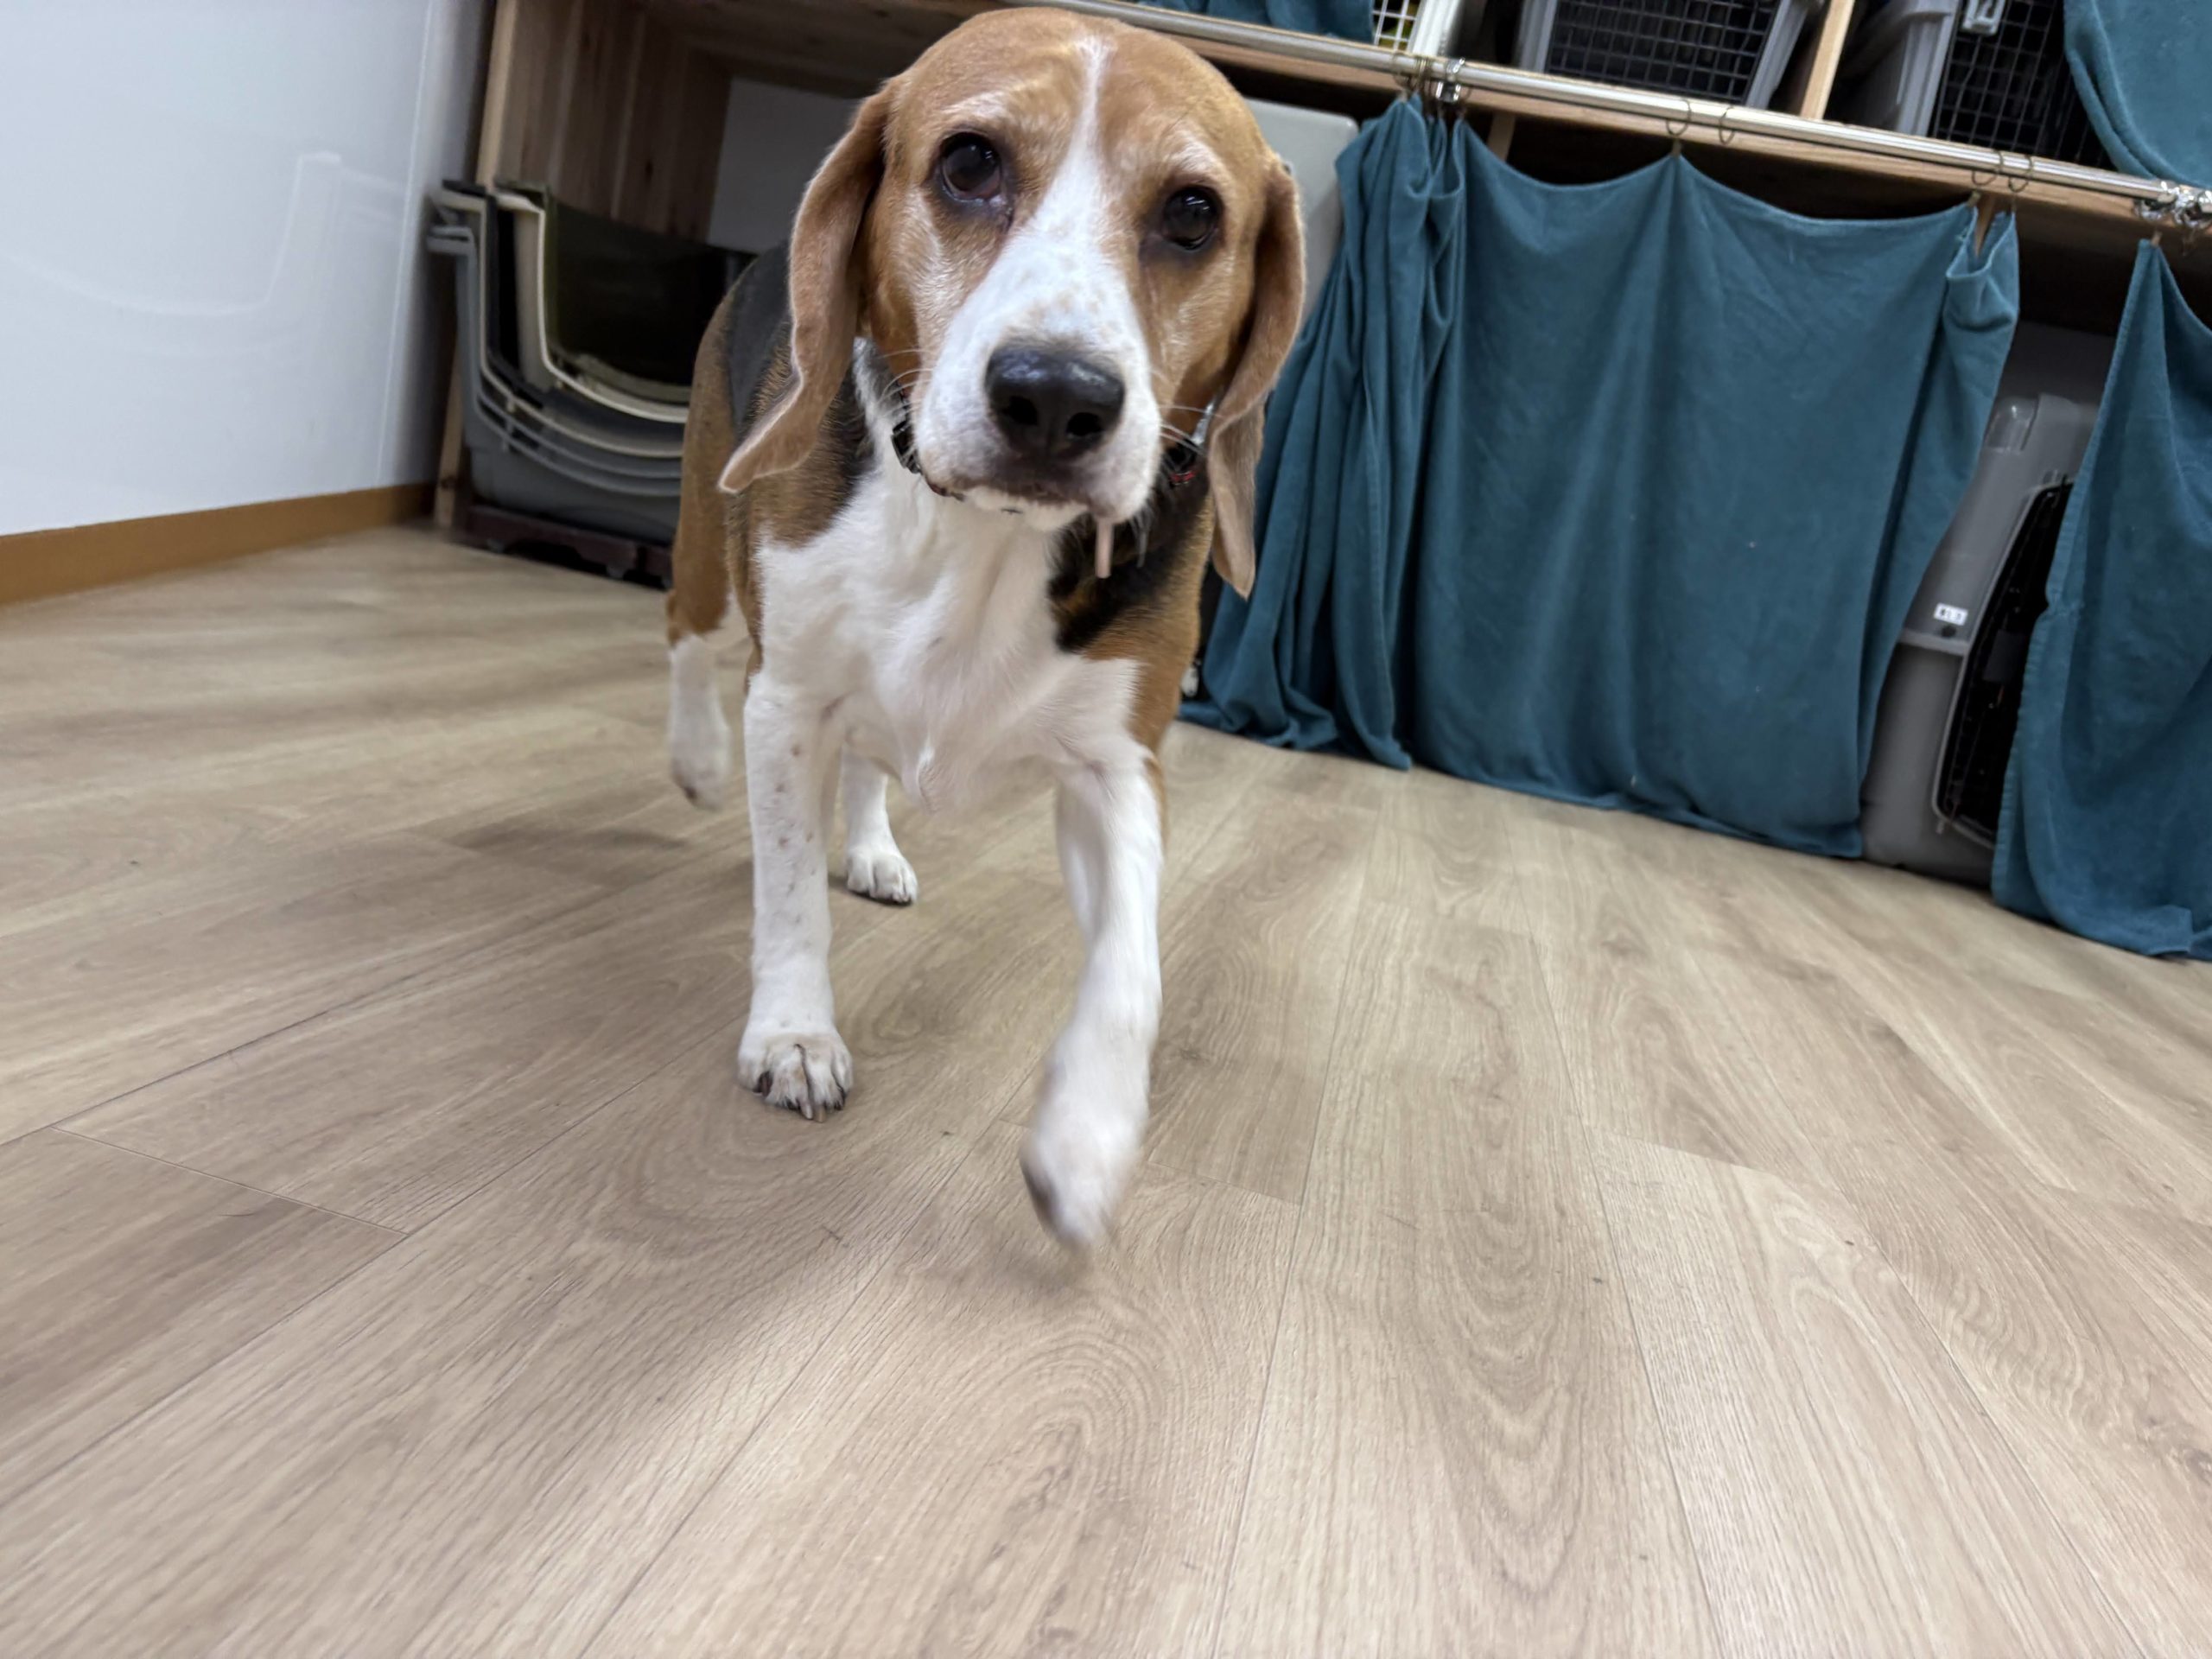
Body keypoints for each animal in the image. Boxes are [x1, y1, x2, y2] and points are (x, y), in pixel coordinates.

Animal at [663, 8, 1304, 1244]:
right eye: (968, 163)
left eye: (1192, 214)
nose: (1055, 396)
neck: (986, 537)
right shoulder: (789, 697)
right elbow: (785, 893)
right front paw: (795, 1033)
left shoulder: (1117, 766)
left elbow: (1133, 965)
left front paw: (1087, 1138)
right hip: (713, 563)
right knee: (684, 642)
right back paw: (697, 761)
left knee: (869, 766)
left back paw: (870, 845)